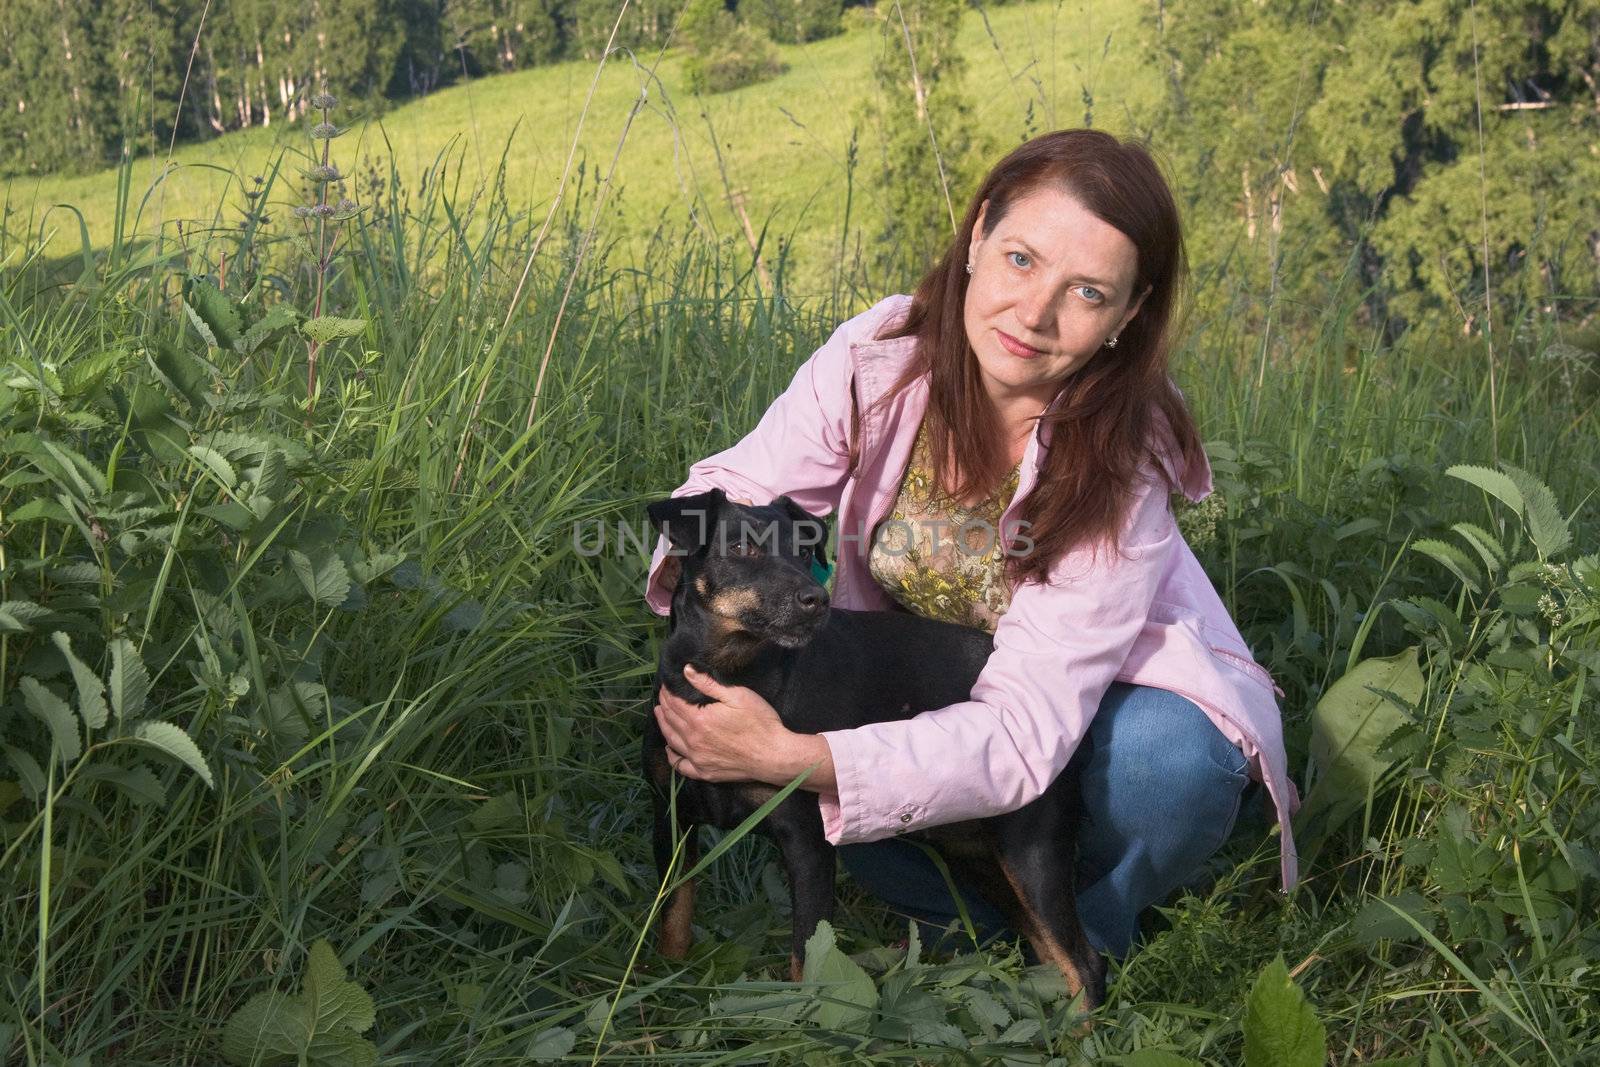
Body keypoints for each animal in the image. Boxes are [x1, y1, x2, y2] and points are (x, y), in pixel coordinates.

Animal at [636, 489, 1100, 1004]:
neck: (728, 672)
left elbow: (807, 959)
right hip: (978, 857)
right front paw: (664, 985)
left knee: (1083, 962)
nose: (815, 600)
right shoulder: (670, 818)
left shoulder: (807, 840)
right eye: (740, 549)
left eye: (804, 553)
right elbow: (674, 916)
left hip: (1032, 846)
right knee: (1051, 952)